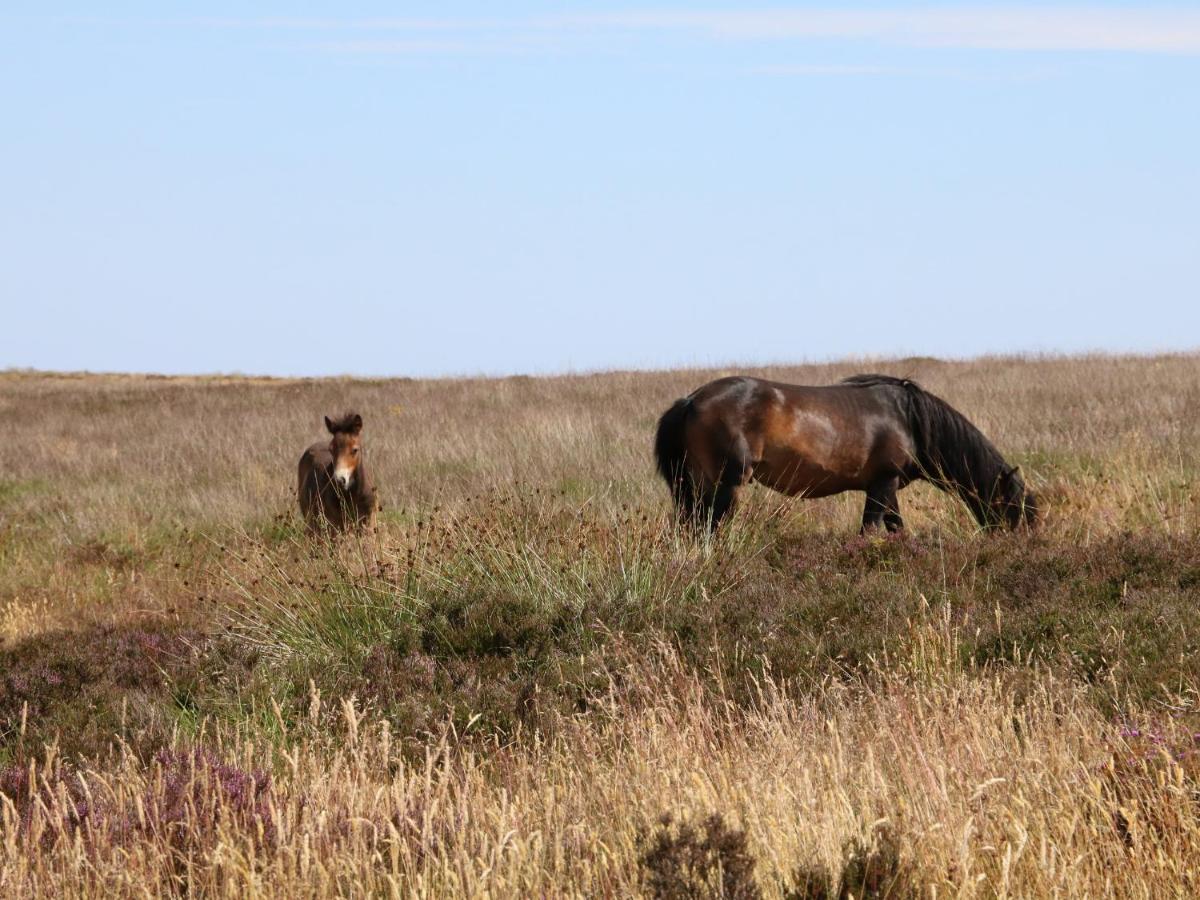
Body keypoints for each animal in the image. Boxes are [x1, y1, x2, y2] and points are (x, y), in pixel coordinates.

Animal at [652, 374, 1036, 535]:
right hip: (725, 484)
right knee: (708, 528)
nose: (1015, 543)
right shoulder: (883, 484)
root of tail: (691, 400)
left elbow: (896, 529)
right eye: (1013, 505)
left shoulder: (885, 487)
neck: (909, 418)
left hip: (695, 484)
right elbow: (869, 531)